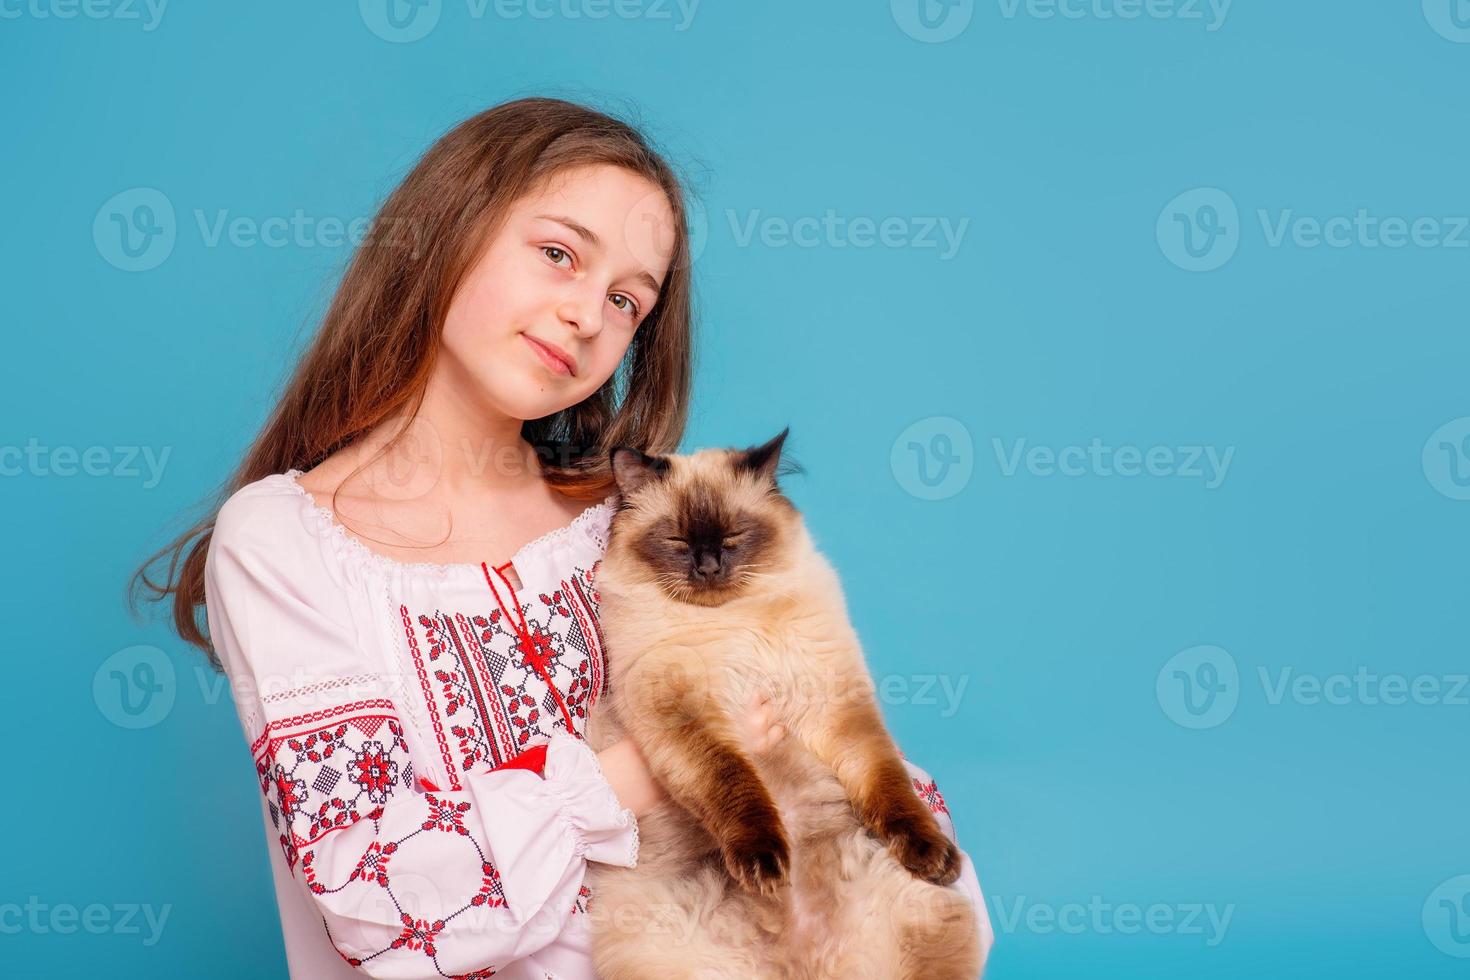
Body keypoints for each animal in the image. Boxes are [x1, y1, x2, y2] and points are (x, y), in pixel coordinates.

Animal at [579, 429, 981, 980]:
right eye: (678, 541)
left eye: (733, 537)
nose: (708, 567)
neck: (734, 621)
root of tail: (802, 967)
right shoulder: (684, 714)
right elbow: (736, 785)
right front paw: (766, 862)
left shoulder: (834, 705)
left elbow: (890, 785)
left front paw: (930, 850)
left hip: (930, 913)